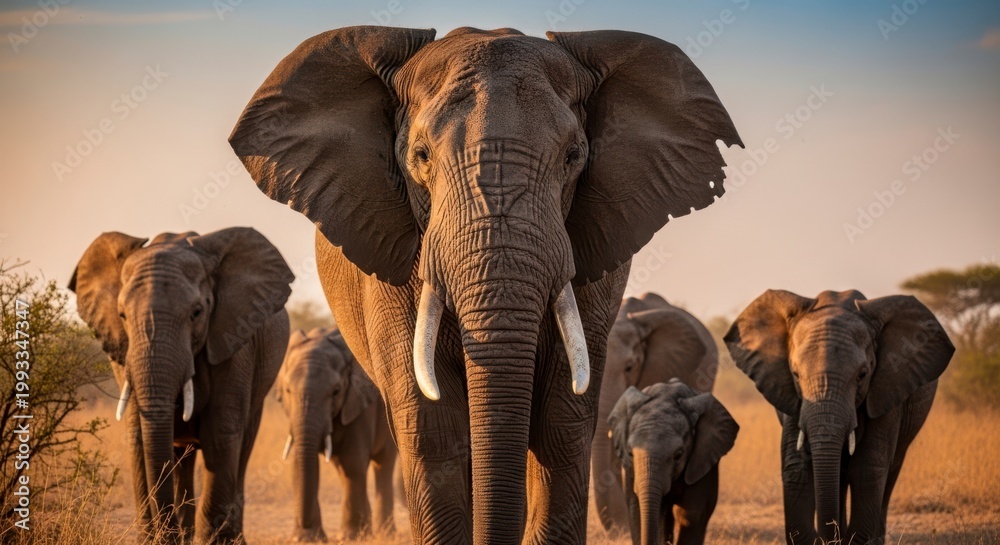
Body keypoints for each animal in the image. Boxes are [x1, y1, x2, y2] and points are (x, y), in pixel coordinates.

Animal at [68, 228, 294, 543]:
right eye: (122, 315)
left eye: (197, 313)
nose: (167, 535)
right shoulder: (123, 354)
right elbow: (139, 437)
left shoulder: (234, 339)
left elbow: (220, 436)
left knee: (243, 447)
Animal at [275, 327, 397, 541]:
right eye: (288, 391)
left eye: (336, 391)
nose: (304, 523)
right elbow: (301, 465)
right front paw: (306, 539)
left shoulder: (360, 403)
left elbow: (352, 462)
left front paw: (348, 538)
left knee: (383, 464)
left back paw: (384, 535)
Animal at [608, 381, 738, 545]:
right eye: (630, 454)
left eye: (678, 455)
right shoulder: (631, 472)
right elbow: (637, 509)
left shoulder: (700, 459)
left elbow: (691, 514)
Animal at [725, 289, 954, 544]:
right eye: (795, 374)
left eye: (862, 375)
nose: (829, 538)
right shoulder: (792, 399)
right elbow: (798, 468)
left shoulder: (886, 388)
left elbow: (868, 469)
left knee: (889, 472)